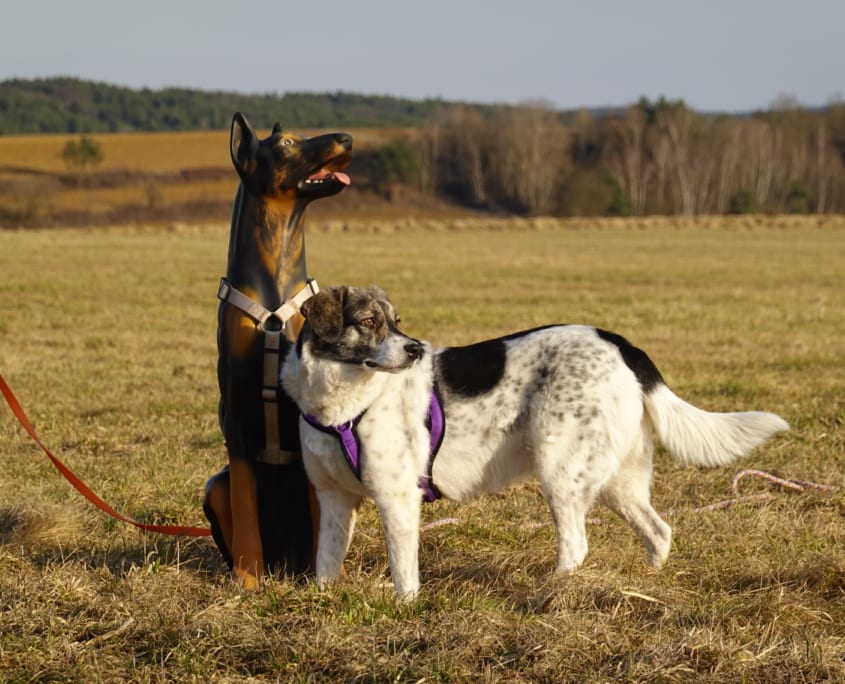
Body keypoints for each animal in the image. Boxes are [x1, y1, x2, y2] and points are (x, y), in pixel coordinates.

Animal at [204, 113, 352, 588]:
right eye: (286, 144)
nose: (348, 138)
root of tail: (286, 559)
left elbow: (321, 511)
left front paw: (324, 578)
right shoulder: (237, 417)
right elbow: (245, 503)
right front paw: (248, 579)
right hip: (213, 486)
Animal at [280, 284, 788, 600]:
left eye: (395, 321)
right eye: (368, 321)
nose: (415, 350)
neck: (343, 404)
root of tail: (623, 346)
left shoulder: (397, 499)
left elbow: (404, 570)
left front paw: (405, 608)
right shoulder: (333, 501)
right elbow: (326, 562)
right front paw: (322, 601)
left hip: (560, 470)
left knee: (577, 545)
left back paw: (556, 591)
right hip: (615, 482)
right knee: (659, 531)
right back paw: (647, 582)